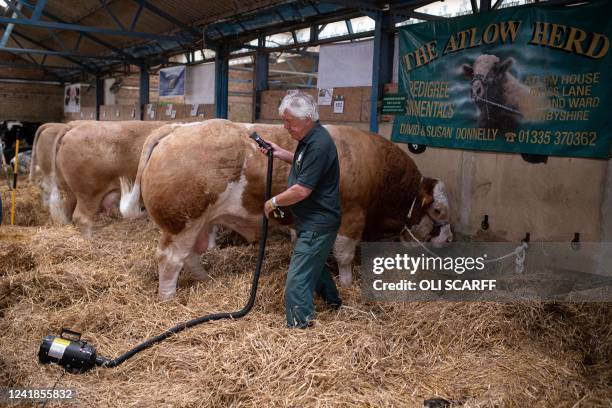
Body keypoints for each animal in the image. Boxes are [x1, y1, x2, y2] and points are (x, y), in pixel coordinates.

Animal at [120, 119, 454, 298]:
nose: (449, 238)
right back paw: (168, 296)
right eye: (438, 211)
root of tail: (178, 127)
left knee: (190, 257)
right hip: (182, 223)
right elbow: (345, 254)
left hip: (200, 222)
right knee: (170, 259)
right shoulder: (352, 216)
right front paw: (347, 283)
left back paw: (205, 280)